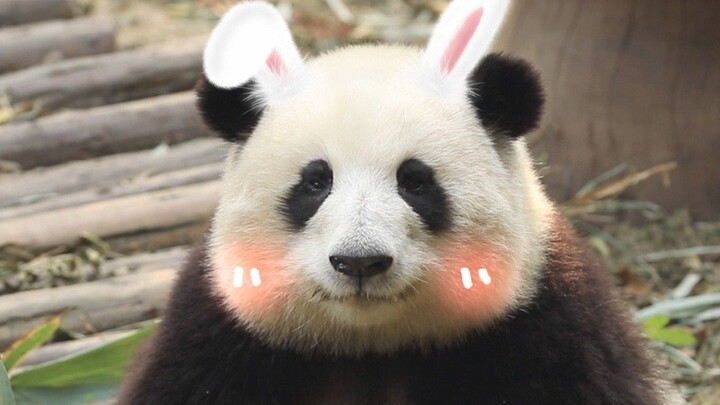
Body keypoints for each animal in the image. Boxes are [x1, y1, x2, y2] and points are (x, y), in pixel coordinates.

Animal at [118, 1, 682, 404]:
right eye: (315, 183)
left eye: (415, 182)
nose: (360, 261)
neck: (373, 344)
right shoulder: (222, 326)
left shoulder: (549, 321)